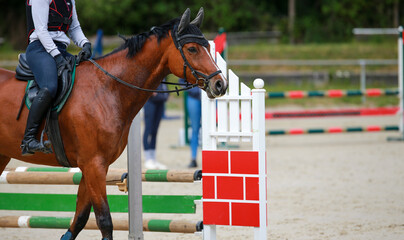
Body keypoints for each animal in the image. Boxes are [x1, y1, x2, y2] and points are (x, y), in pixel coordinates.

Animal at [0, 7, 227, 240]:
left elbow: (80, 219)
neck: (107, 90)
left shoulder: (95, 166)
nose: (220, 84)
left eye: (208, 47)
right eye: (192, 49)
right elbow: (104, 220)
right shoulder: (93, 165)